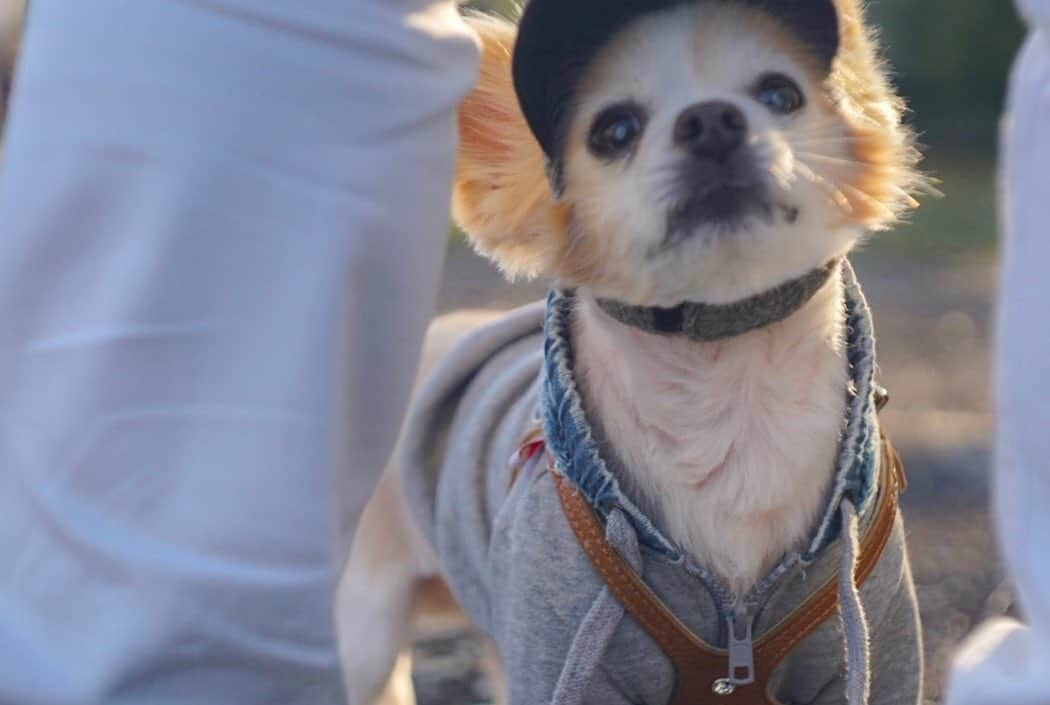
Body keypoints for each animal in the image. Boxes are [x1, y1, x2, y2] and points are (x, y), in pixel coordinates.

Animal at [342, 1, 919, 705]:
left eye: (781, 94)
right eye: (613, 131)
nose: (711, 119)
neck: (726, 386)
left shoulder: (869, 650)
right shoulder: (563, 651)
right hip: (370, 623)